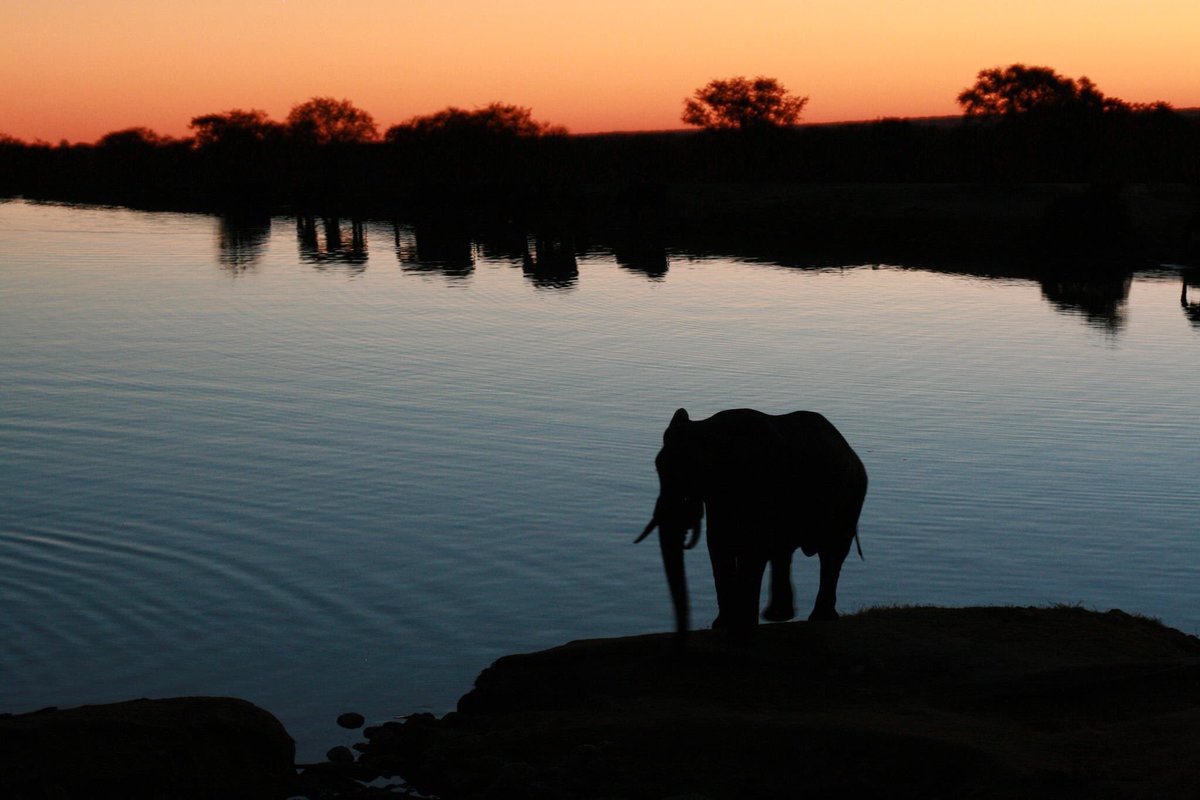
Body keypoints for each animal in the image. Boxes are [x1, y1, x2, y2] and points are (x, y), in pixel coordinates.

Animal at [638, 410, 864, 633]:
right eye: (658, 467)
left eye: (694, 473)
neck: (709, 429)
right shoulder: (719, 497)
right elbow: (719, 542)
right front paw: (724, 625)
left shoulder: (762, 482)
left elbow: (753, 545)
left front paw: (742, 624)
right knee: (784, 551)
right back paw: (778, 616)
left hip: (849, 499)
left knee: (832, 553)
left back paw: (819, 618)